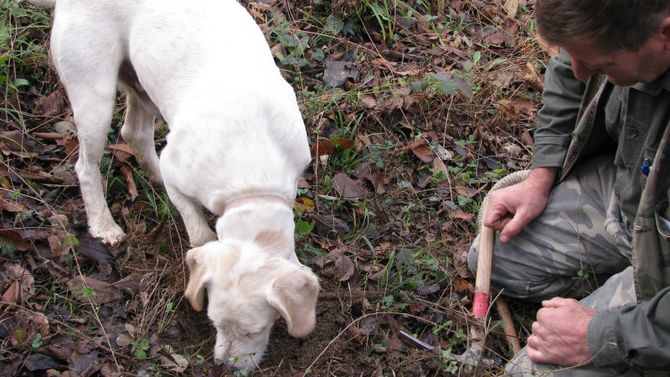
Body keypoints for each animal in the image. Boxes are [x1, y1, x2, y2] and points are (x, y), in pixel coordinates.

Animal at [30, 0, 322, 368]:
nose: (223, 367)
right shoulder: (182, 178)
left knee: (133, 133)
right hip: (93, 95)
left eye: (254, 331)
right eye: (213, 322)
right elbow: (200, 235)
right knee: (86, 165)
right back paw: (103, 224)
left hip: (143, 87)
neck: (253, 189)